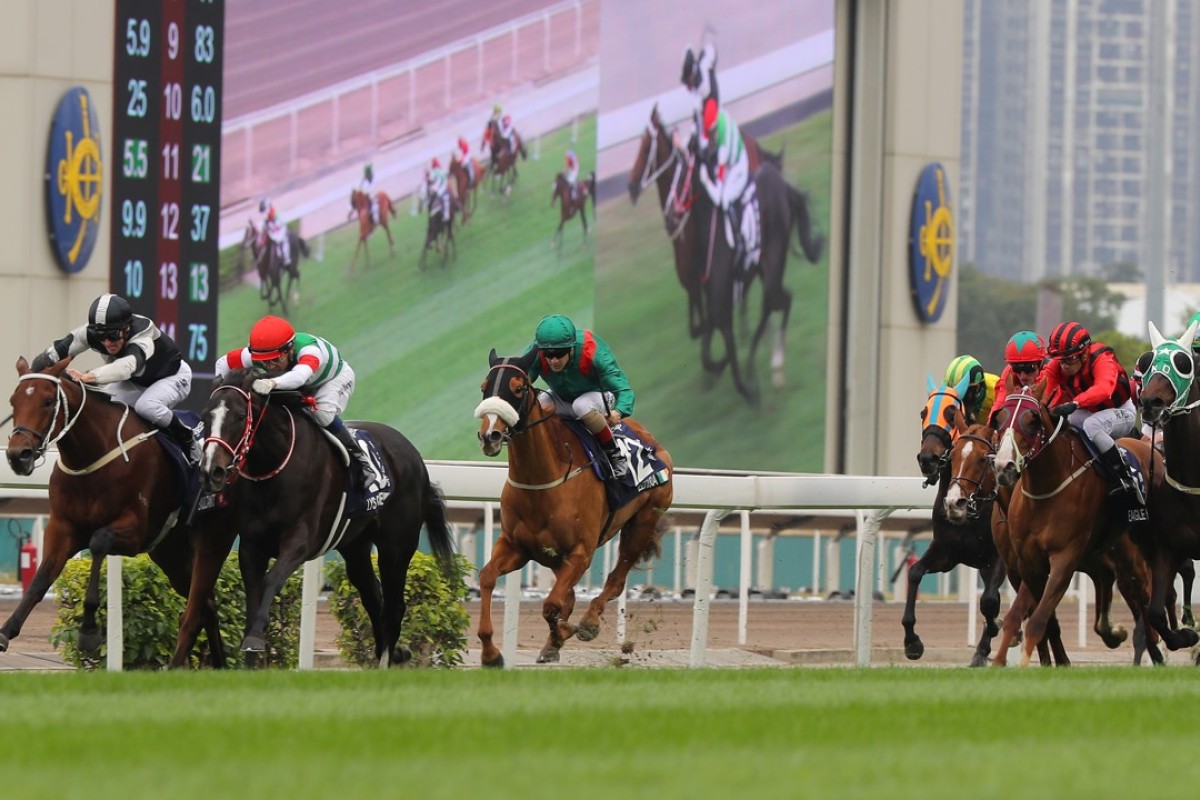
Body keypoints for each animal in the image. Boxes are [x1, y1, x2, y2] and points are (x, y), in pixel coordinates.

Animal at [1, 357, 226, 662]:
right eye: (13, 401)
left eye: (48, 401)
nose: (18, 456)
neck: (92, 455)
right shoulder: (62, 528)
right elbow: (40, 580)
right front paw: (6, 631)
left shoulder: (135, 531)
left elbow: (98, 542)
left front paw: (88, 631)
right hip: (170, 553)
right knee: (207, 605)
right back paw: (219, 663)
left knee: (203, 602)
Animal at [166, 371, 451, 671]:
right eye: (206, 415)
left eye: (240, 416)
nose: (212, 471)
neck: (273, 467)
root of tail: (414, 456)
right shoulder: (252, 546)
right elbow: (253, 593)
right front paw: (250, 656)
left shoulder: (300, 540)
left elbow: (272, 580)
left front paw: (255, 638)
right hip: (355, 546)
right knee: (372, 595)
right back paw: (393, 652)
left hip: (396, 547)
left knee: (394, 606)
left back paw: (387, 659)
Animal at [470, 350, 676, 671]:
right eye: (484, 387)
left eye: (518, 388)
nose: (489, 435)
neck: (543, 480)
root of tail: (653, 440)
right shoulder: (517, 546)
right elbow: (488, 577)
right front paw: (491, 653)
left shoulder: (581, 552)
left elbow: (552, 604)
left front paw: (567, 632)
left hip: (642, 522)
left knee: (615, 581)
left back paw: (589, 623)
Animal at [984, 383, 1161, 666]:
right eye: (998, 418)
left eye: (1032, 420)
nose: (1004, 466)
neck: (1045, 490)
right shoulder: (1027, 563)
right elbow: (1021, 617)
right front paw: (1001, 661)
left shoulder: (1065, 557)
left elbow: (1038, 619)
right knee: (1114, 581)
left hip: (1133, 553)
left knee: (1144, 596)